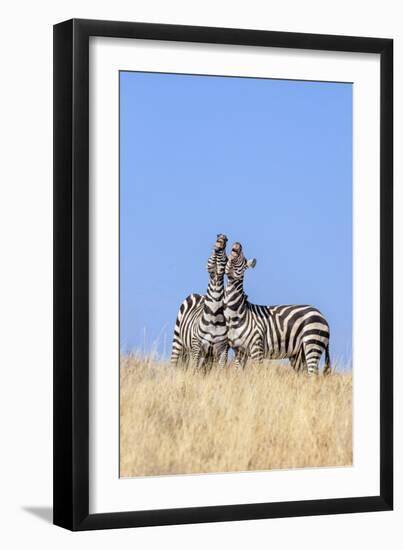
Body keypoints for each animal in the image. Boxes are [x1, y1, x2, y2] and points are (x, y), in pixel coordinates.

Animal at [170, 234, 229, 368]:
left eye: (226, 257)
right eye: (211, 253)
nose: (222, 237)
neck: (213, 315)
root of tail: (198, 295)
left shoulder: (223, 350)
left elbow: (221, 370)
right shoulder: (197, 347)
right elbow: (192, 370)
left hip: (208, 356)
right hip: (178, 340)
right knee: (174, 362)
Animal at [224, 242, 332, 376]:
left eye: (243, 259)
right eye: (229, 257)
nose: (237, 244)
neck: (237, 314)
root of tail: (321, 314)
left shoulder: (256, 348)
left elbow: (257, 373)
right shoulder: (239, 351)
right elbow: (238, 374)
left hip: (312, 342)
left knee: (313, 375)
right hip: (298, 354)